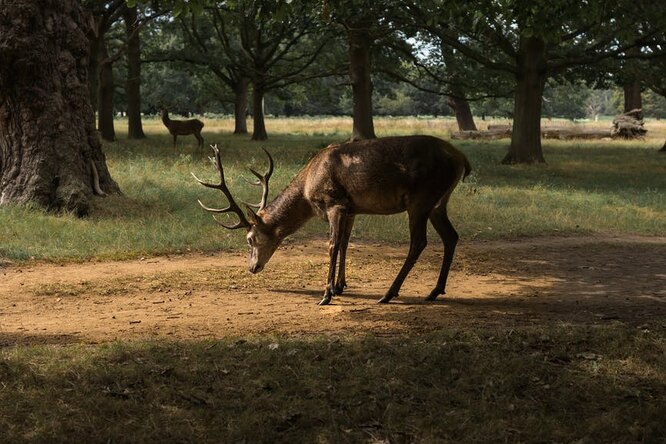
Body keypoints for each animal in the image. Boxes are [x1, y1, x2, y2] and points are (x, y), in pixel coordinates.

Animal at [195, 136, 470, 306]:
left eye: (250, 239)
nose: (252, 268)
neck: (308, 190)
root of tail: (461, 159)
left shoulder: (334, 203)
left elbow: (332, 246)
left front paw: (326, 294)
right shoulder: (351, 209)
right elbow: (346, 244)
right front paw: (340, 286)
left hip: (421, 199)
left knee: (419, 242)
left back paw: (389, 294)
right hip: (438, 202)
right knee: (451, 236)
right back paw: (434, 291)